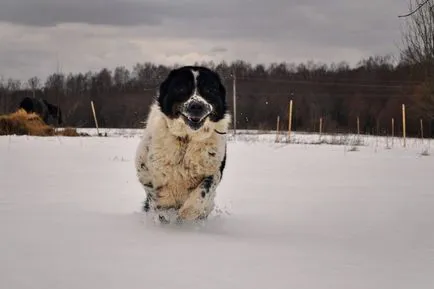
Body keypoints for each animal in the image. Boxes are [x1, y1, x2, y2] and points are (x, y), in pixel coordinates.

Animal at [135, 65, 231, 223]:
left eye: (210, 89)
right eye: (181, 88)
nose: (197, 106)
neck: (186, 139)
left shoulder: (214, 170)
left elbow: (204, 190)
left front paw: (188, 212)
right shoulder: (144, 169)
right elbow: (155, 196)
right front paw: (165, 213)